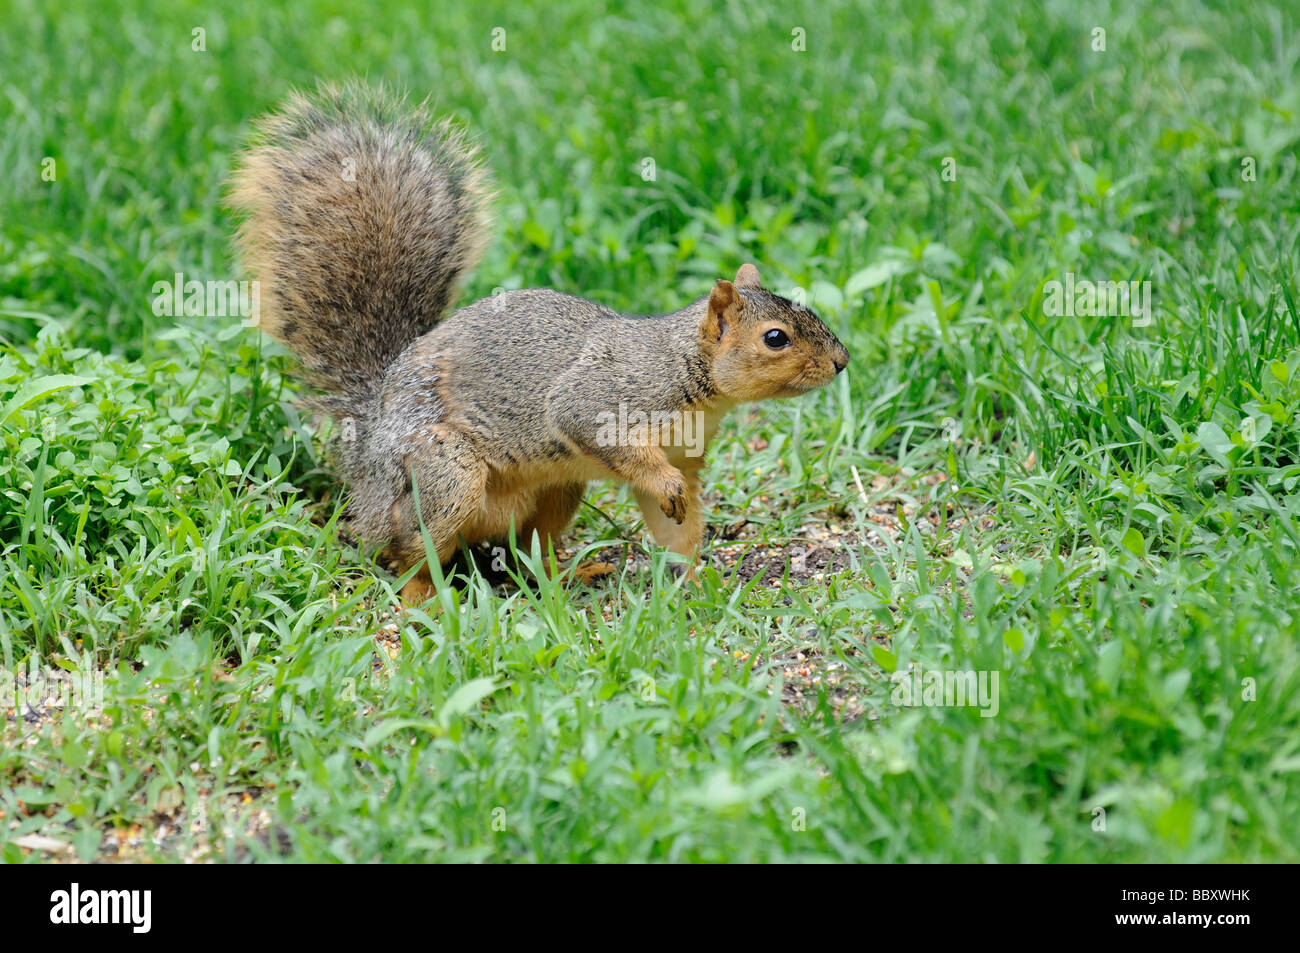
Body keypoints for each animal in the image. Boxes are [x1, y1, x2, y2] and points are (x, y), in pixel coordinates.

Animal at [228, 82, 849, 603]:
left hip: (558, 488)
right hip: (442, 473)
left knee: (526, 551)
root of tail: (365, 450)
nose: (841, 362)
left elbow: (674, 523)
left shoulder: (683, 449)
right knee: (407, 548)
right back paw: (421, 598)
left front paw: (699, 581)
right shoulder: (606, 397)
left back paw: (568, 573)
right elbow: (594, 427)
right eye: (775, 338)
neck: (686, 371)